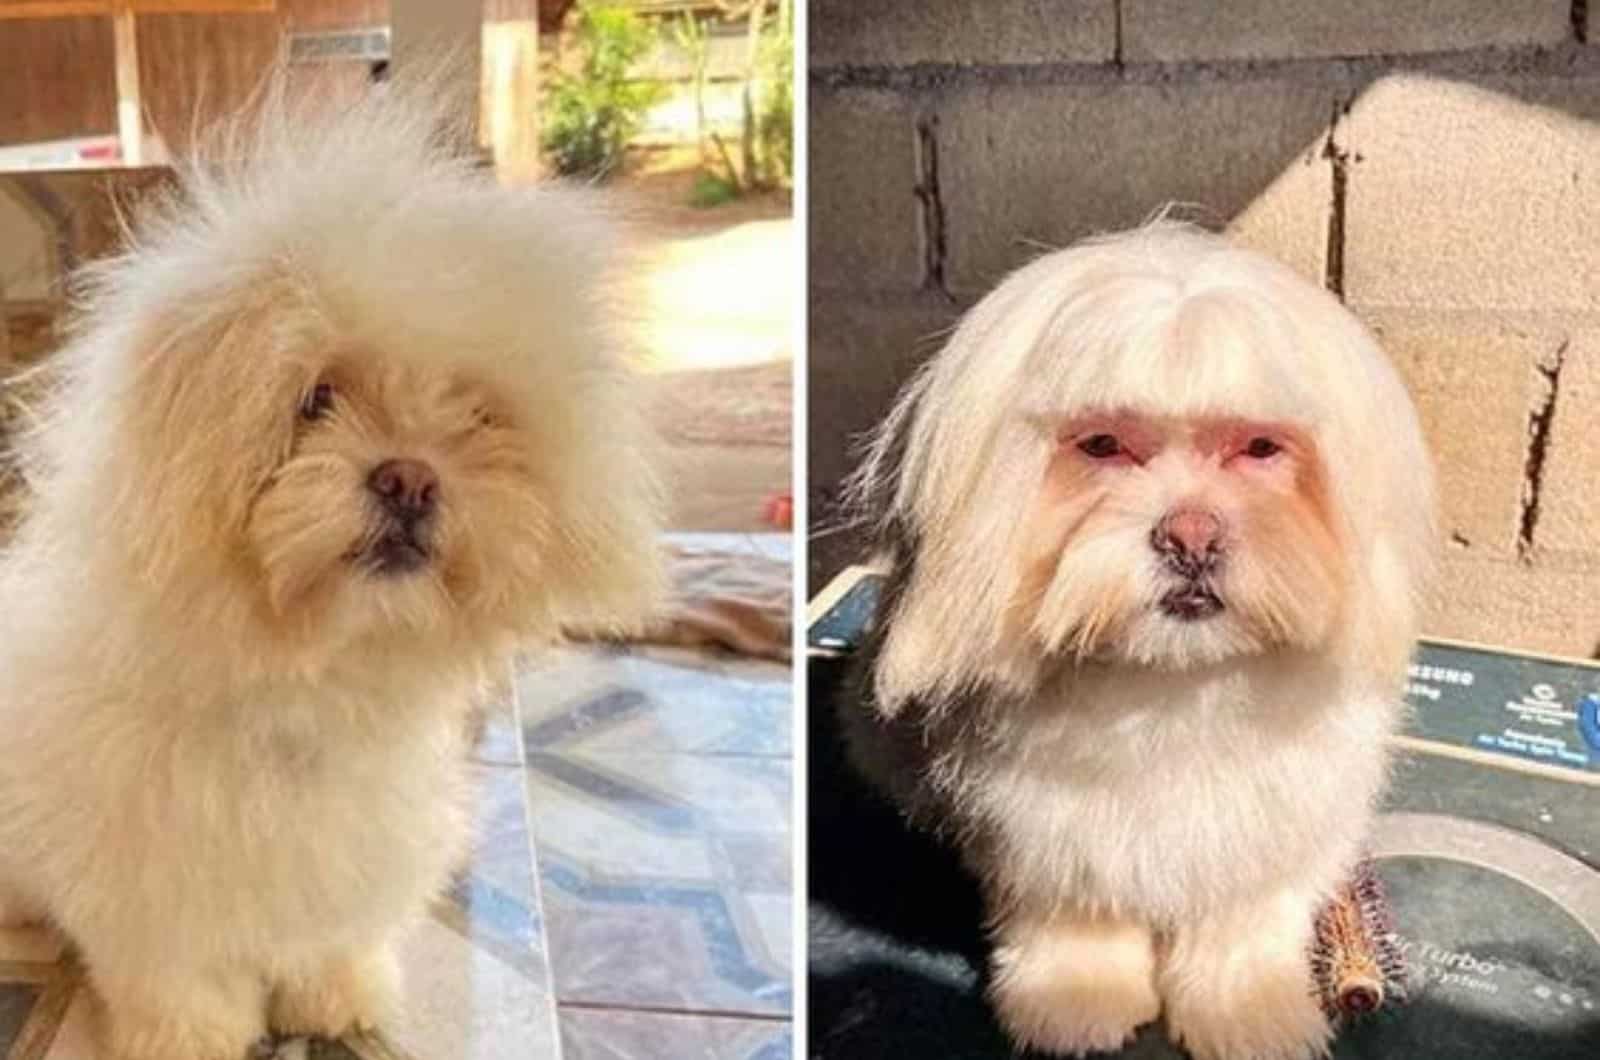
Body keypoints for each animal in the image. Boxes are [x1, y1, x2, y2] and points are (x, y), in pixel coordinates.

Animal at [0, 76, 662, 1060]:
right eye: (315, 399)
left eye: (475, 415)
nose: (410, 477)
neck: (310, 682)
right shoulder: (157, 903)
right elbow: (182, 990)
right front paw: (192, 1042)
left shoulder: (348, 871)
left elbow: (330, 948)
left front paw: (338, 1005)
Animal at [851, 222, 1440, 1060]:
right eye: (1101, 444)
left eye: (1260, 448)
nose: (1190, 535)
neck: (1172, 685)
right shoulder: (1054, 840)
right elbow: (1078, 926)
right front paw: (1075, 1007)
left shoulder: (1264, 835)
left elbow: (1240, 929)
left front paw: (1249, 1016)